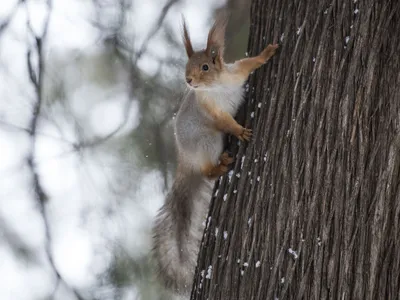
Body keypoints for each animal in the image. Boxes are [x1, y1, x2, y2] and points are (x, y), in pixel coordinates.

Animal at [152, 15, 276, 296]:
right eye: (187, 66)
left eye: (206, 66)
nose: (188, 80)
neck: (215, 87)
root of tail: (187, 161)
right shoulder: (212, 111)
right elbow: (226, 123)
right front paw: (241, 131)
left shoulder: (235, 73)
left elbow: (249, 63)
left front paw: (267, 52)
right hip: (209, 141)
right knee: (207, 172)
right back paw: (220, 165)